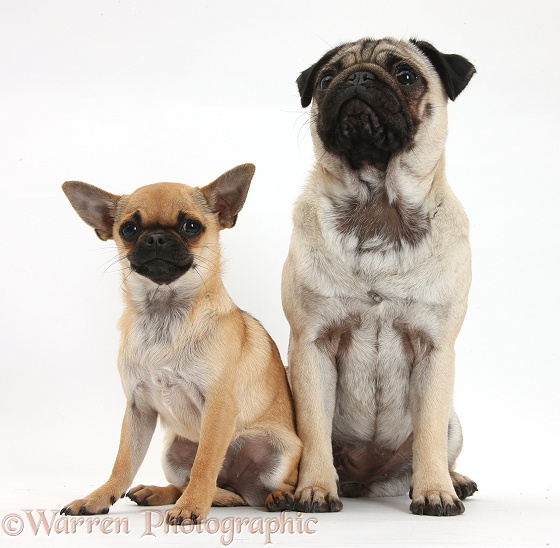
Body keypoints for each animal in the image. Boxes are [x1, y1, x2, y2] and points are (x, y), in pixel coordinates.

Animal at [61, 165, 302, 524]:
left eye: (191, 226)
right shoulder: (138, 410)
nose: (156, 237)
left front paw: (192, 506)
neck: (166, 313)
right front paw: (98, 497)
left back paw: (276, 496)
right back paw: (160, 492)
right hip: (173, 452)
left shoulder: (218, 408)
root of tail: (237, 485)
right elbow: (123, 464)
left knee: (258, 484)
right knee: (189, 483)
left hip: (279, 448)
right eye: (129, 229)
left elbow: (205, 463)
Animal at [284, 36, 476, 516]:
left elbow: (429, 434)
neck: (377, 207)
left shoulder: (435, 350)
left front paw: (434, 491)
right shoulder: (313, 345)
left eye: (406, 75)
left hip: (455, 421)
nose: (358, 77)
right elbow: (313, 430)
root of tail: (369, 481)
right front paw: (315, 488)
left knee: (441, 443)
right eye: (327, 78)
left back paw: (454, 480)